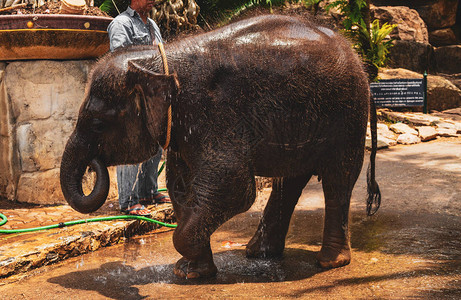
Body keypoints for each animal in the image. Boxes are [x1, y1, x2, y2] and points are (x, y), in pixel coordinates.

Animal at [59, 14, 380, 278]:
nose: (94, 164)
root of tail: (358, 59)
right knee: (290, 179)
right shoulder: (186, 129)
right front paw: (190, 271)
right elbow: (180, 186)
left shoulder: (215, 116)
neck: (159, 61)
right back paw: (259, 254)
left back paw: (330, 262)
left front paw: (187, 267)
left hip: (347, 115)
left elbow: (233, 188)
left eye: (98, 124)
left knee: (339, 178)